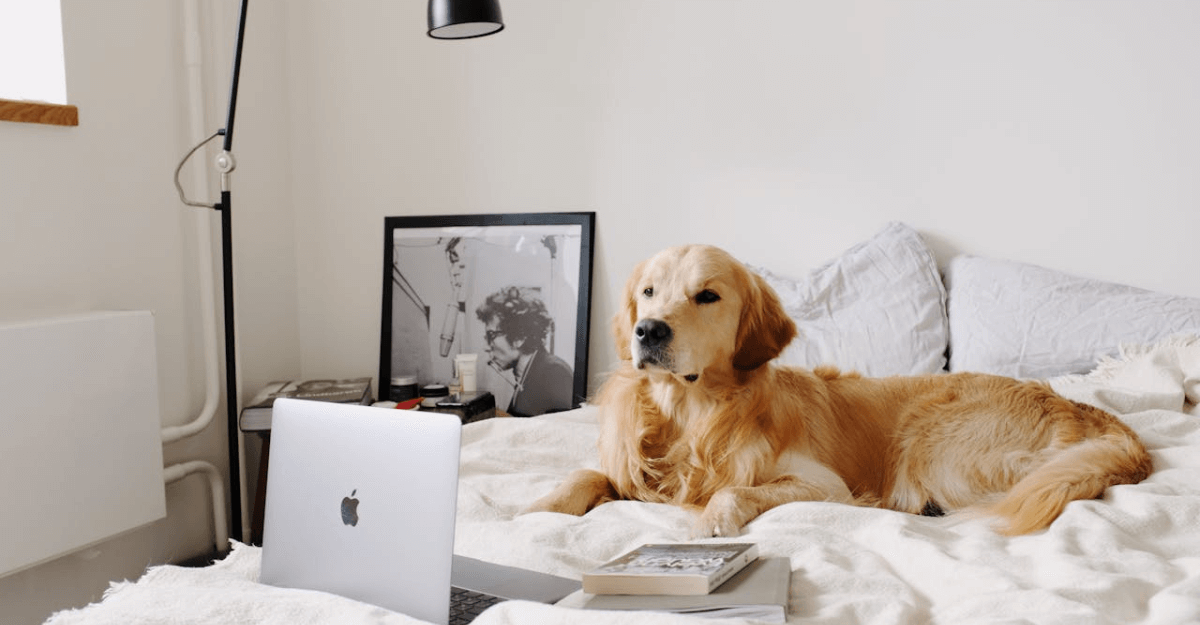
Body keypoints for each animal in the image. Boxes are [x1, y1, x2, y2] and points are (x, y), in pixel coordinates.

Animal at [528, 243, 1152, 535]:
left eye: (706, 295)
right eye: (649, 292)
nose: (649, 331)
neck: (692, 415)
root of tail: (1088, 410)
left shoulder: (823, 486)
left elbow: (737, 491)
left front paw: (711, 520)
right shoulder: (633, 474)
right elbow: (587, 474)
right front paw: (540, 508)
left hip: (932, 439)